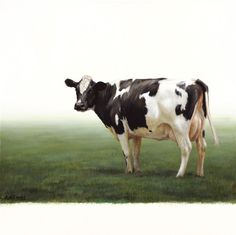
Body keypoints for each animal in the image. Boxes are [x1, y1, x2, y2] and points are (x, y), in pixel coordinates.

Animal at [64, 75, 218, 176]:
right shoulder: (137, 131)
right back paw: (199, 173)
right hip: (200, 126)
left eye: (91, 90)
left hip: (180, 127)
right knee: (202, 147)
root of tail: (194, 81)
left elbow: (126, 152)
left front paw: (128, 172)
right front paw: (137, 171)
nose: (79, 105)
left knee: (186, 148)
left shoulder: (120, 128)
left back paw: (180, 174)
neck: (110, 96)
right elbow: (136, 152)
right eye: (76, 89)